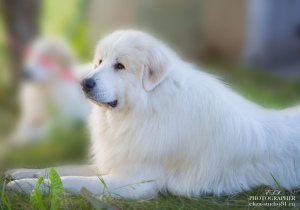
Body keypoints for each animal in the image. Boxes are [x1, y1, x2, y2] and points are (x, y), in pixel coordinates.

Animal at [5, 30, 300, 199]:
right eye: (100, 62)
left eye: (120, 66)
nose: (84, 83)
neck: (146, 109)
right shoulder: (118, 160)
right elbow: (60, 168)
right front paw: (21, 172)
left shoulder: (135, 182)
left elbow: (70, 180)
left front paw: (25, 187)